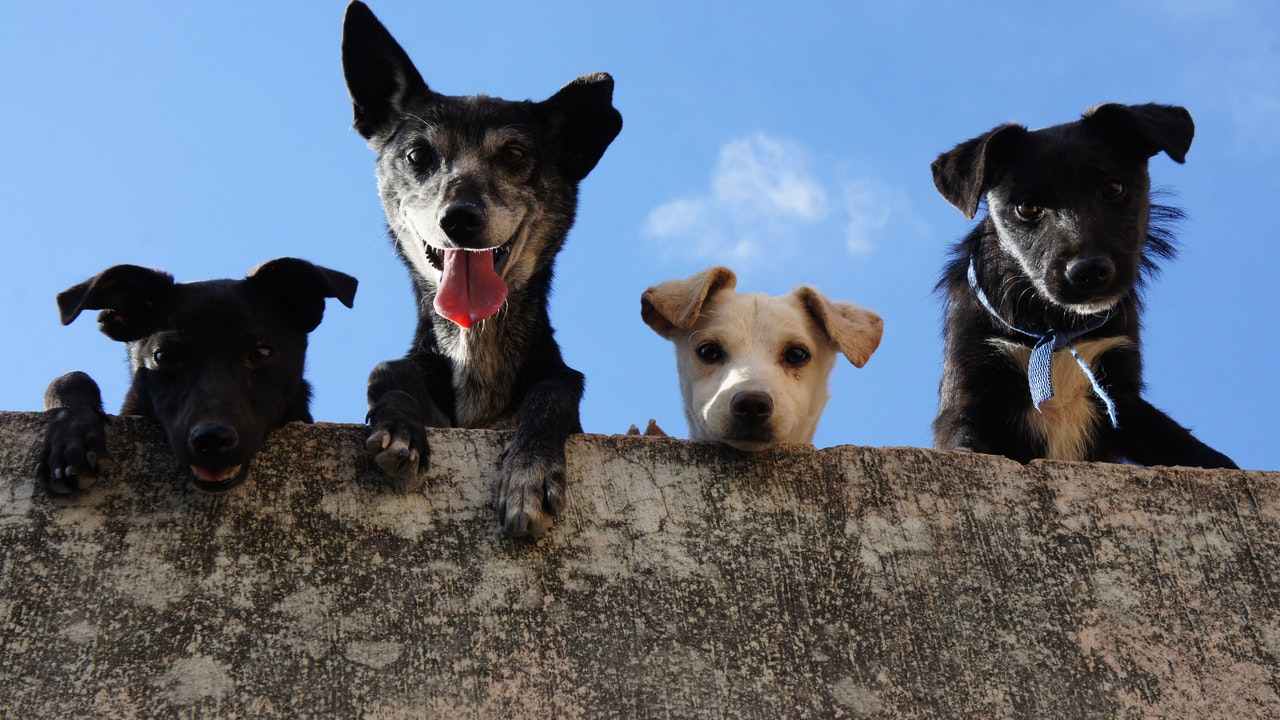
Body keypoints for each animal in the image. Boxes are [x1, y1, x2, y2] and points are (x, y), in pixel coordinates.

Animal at [340, 2, 619, 535]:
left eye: (514, 155)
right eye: (418, 155)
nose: (460, 218)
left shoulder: (557, 388)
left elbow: (555, 390)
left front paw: (529, 473)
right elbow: (387, 369)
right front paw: (399, 426)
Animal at [931, 103, 1239, 468]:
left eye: (1114, 189)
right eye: (1027, 208)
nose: (1089, 271)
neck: (1056, 329)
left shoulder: (1121, 396)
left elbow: (1191, 449)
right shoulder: (971, 392)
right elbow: (966, 443)